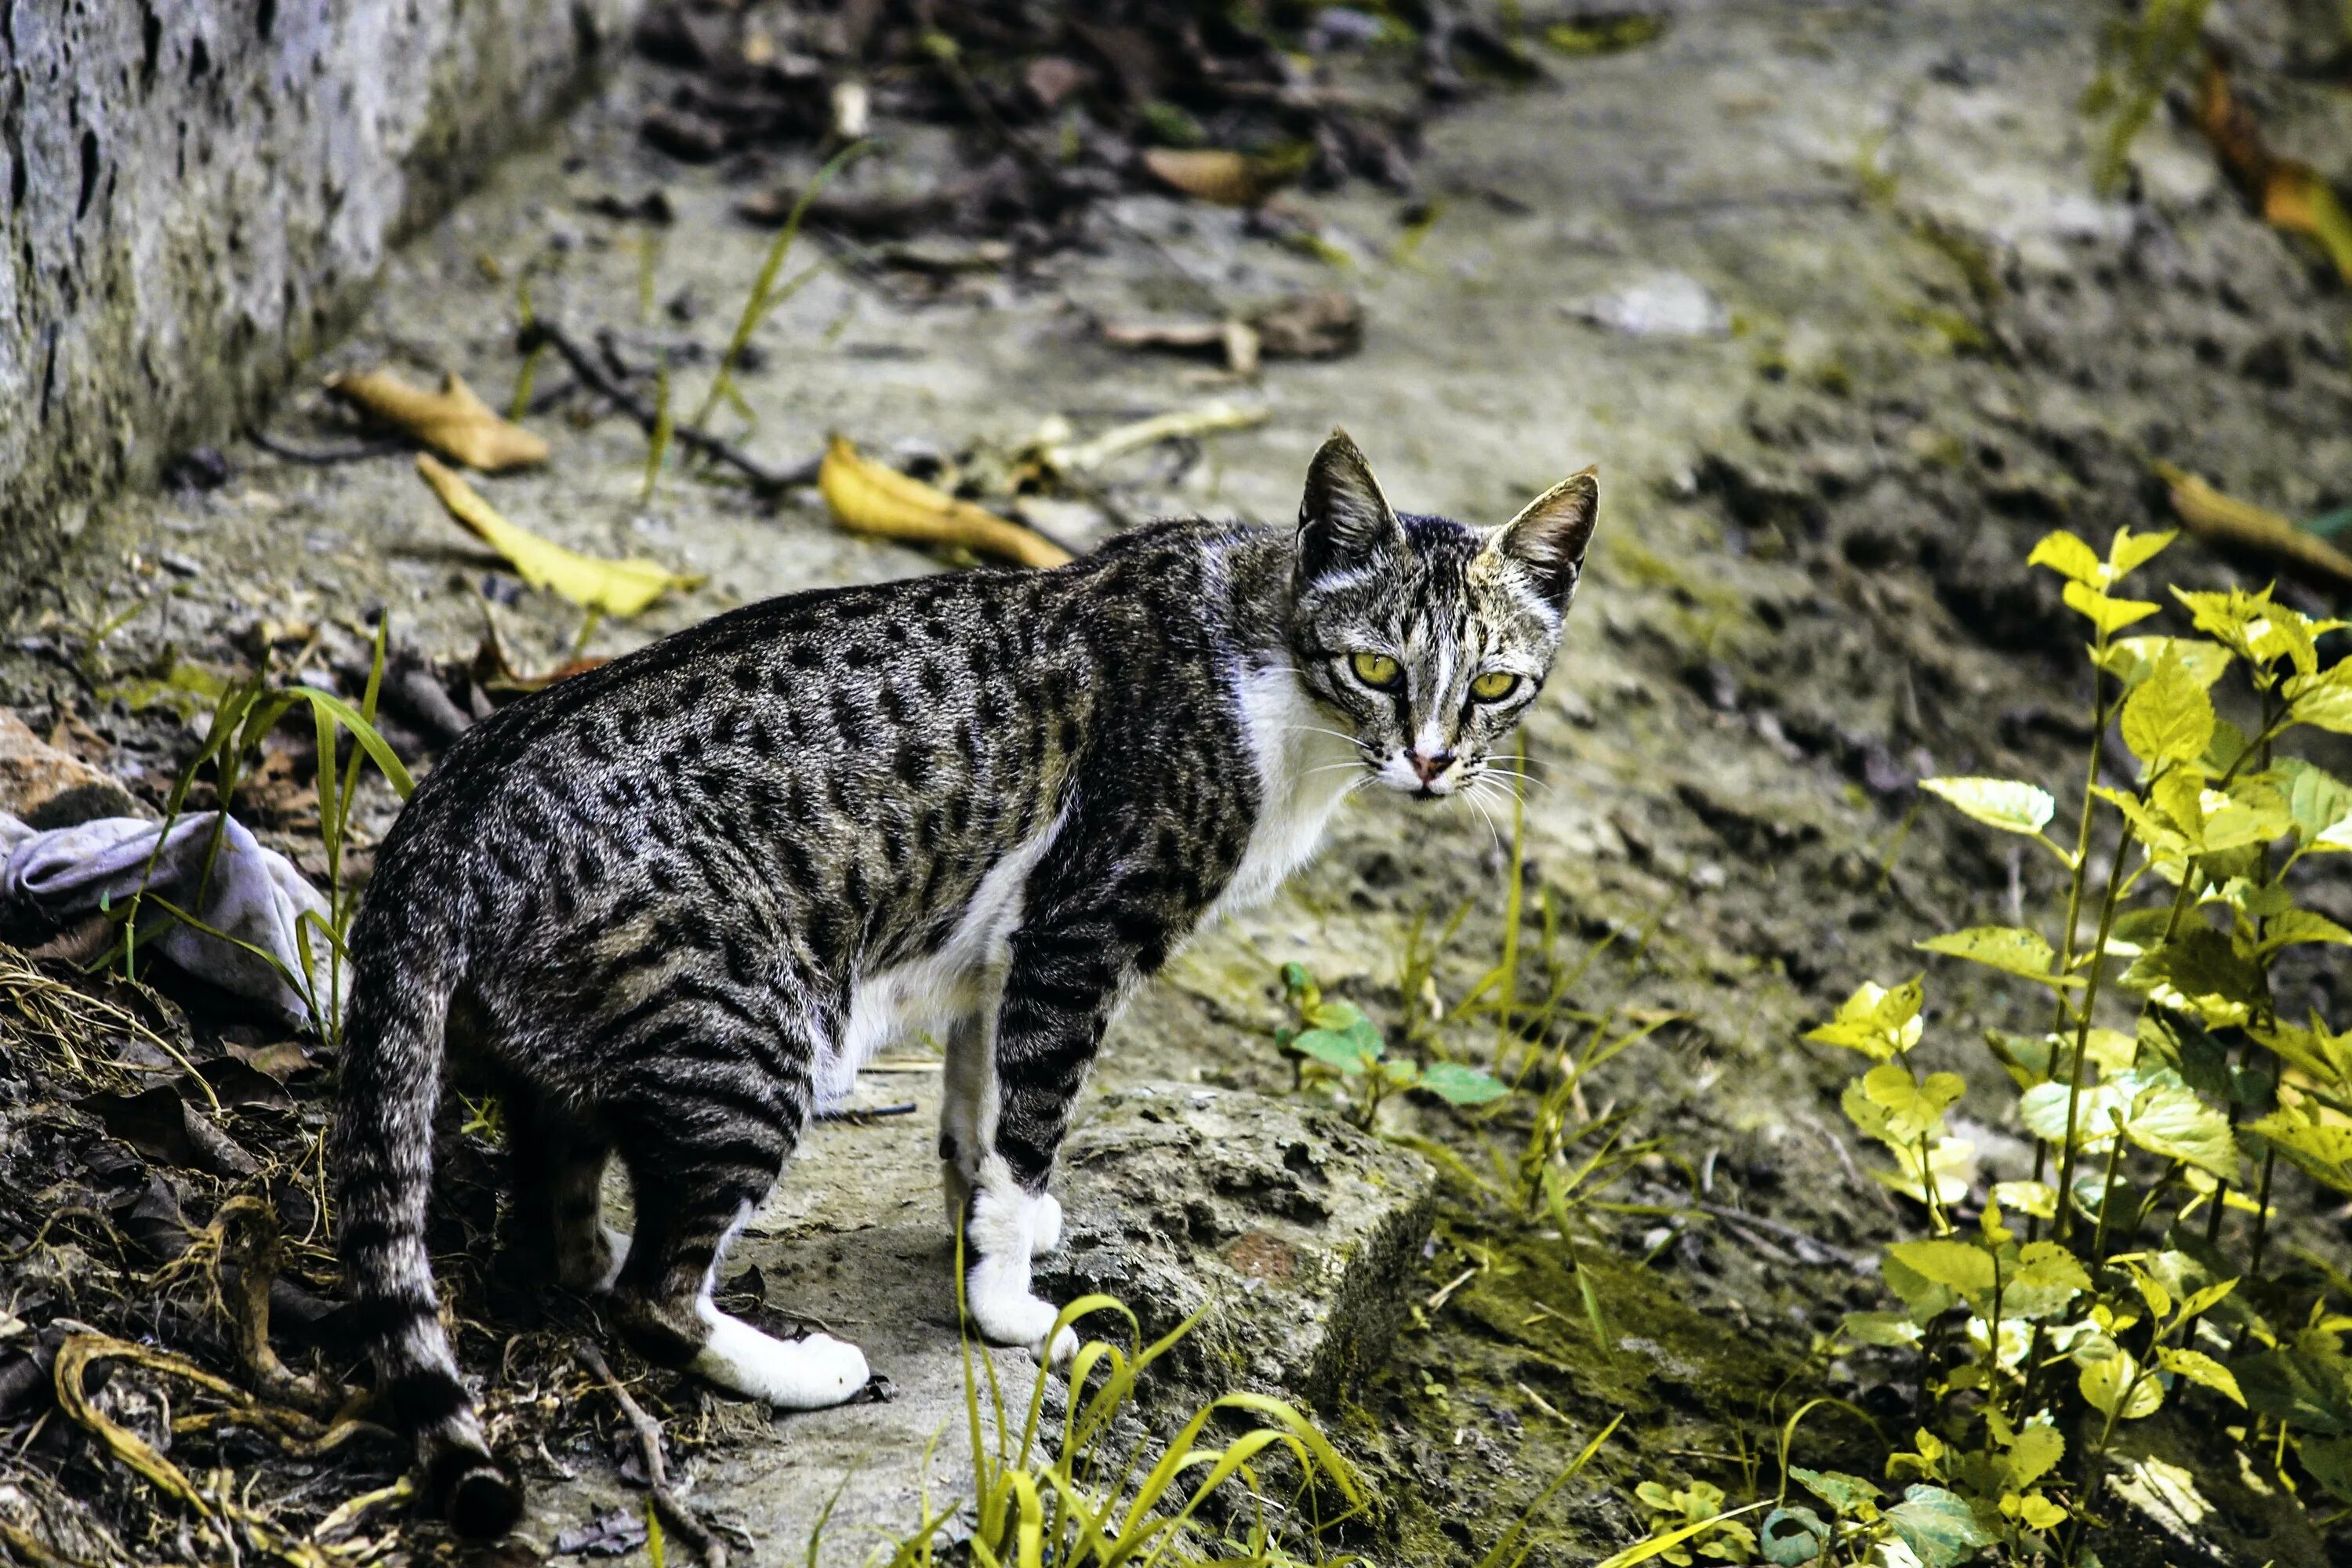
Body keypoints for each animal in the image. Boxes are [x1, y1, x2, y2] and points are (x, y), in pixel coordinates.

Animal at [336, 430, 1599, 1533]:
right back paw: (797, 1364)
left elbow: (980, 1122)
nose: (1432, 761)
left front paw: (1008, 1229)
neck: (1275, 678)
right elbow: (1030, 1121)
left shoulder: (1005, 962)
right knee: (658, 1292)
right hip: (753, 1030)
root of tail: (443, 813)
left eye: (1494, 687)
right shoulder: (1080, 934)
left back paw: (593, 1251)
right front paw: (1011, 1314)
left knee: (563, 1211)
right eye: (1377, 666)